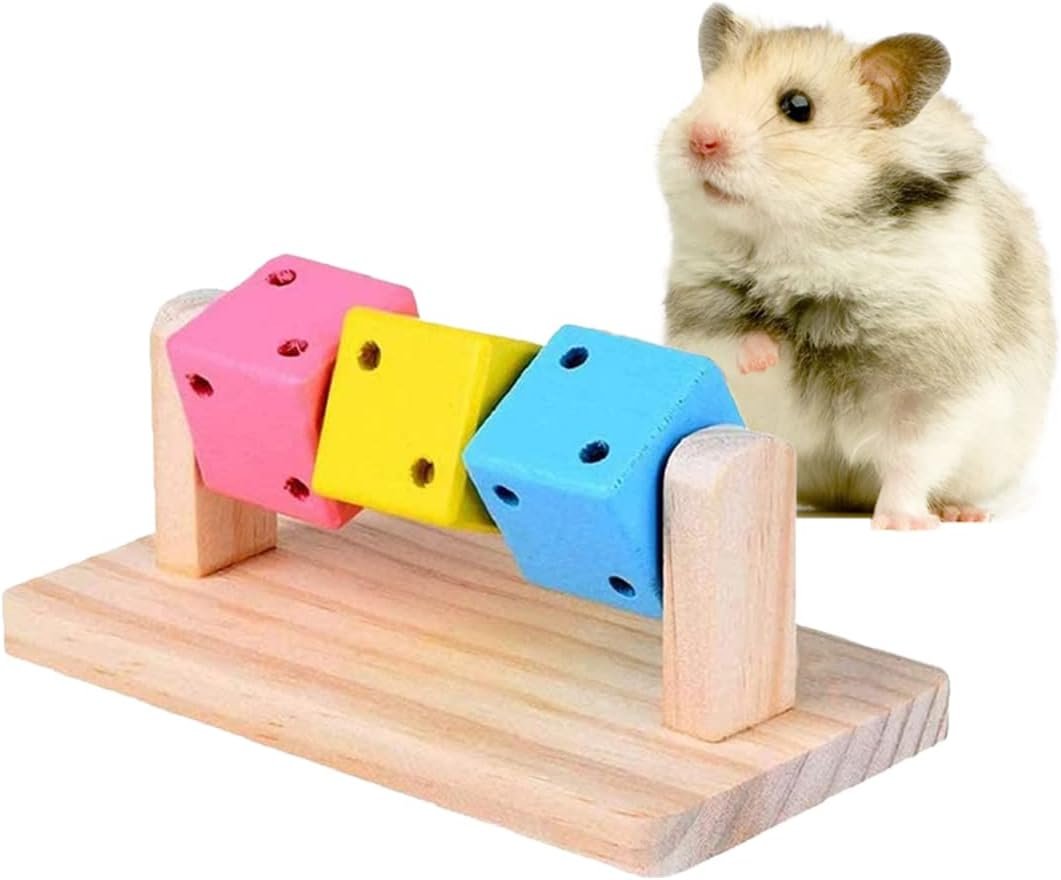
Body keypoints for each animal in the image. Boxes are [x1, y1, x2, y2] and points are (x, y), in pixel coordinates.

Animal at [659, 5, 1055, 529]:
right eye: (704, 92)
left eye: (797, 106)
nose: (700, 139)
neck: (805, 248)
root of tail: (843, 500)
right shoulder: (703, 315)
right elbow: (738, 343)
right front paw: (766, 351)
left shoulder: (932, 390)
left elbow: (911, 461)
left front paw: (901, 524)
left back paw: (960, 514)